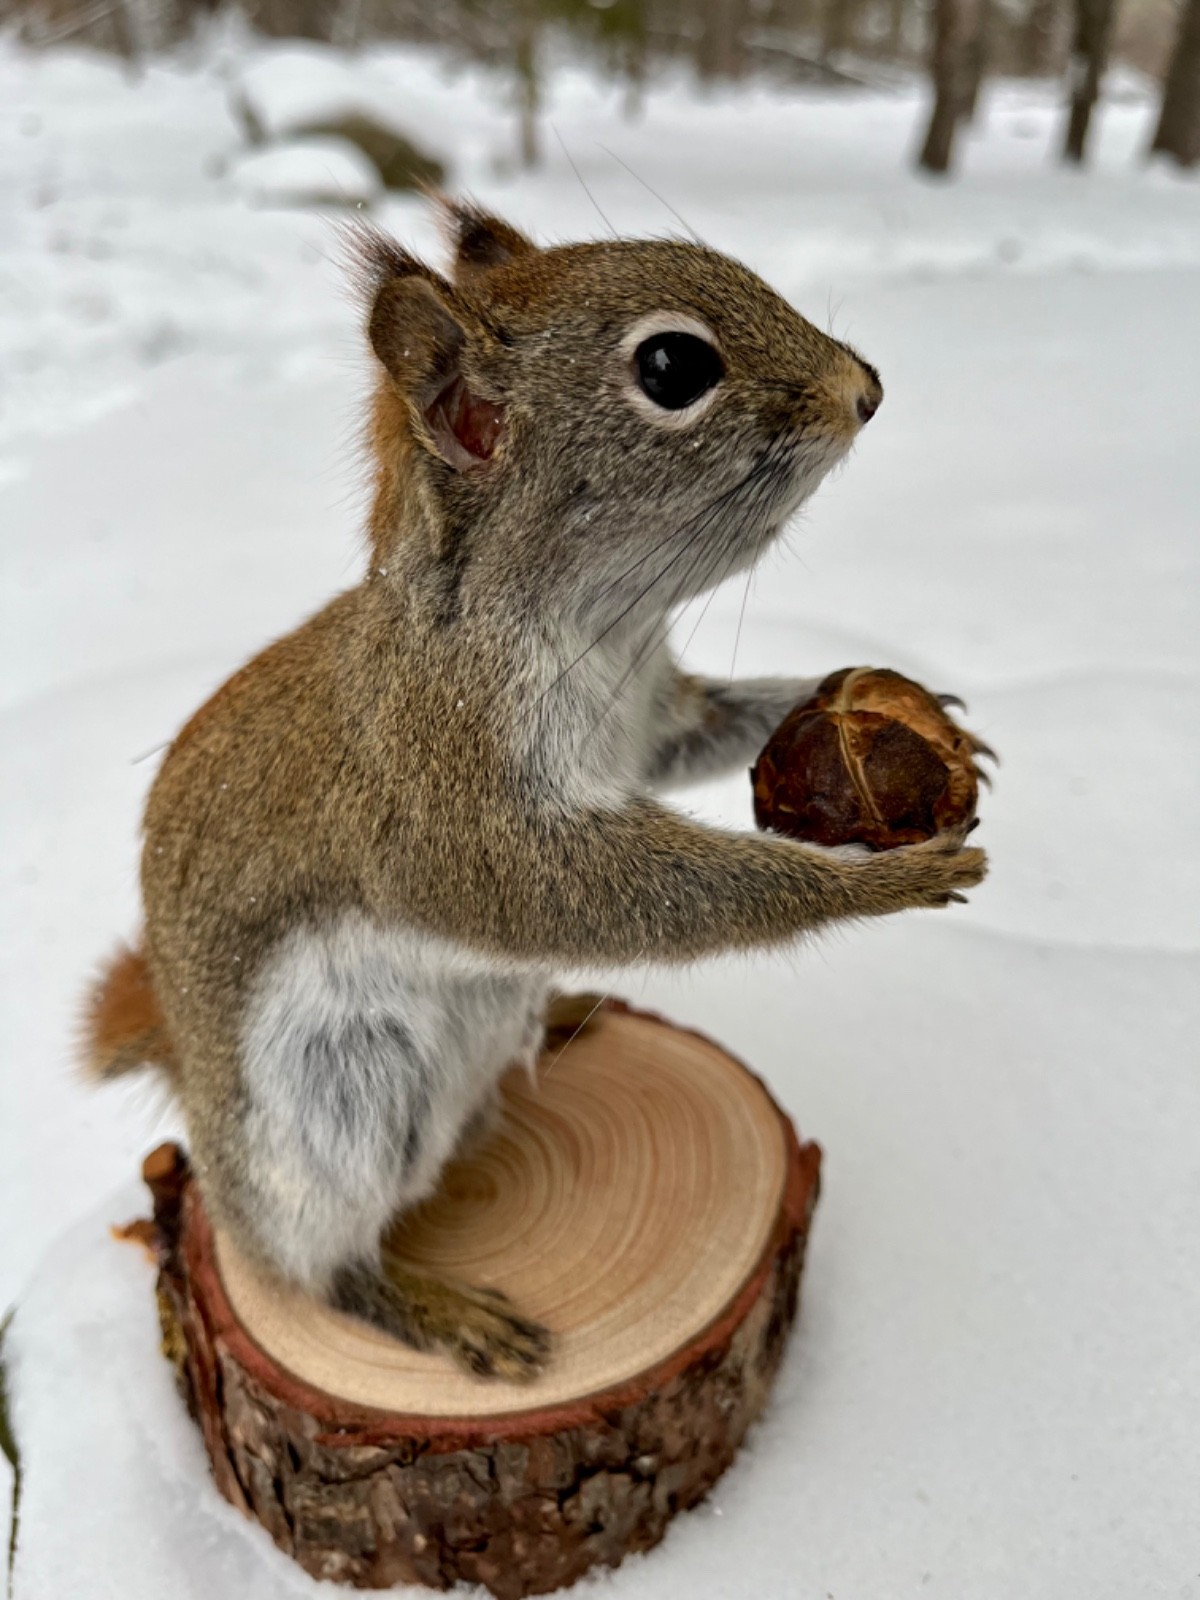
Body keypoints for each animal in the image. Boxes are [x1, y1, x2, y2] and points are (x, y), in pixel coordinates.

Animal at [82, 202, 986, 1381]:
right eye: (673, 367)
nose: (864, 387)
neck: (593, 624)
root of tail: (187, 1071)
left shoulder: (651, 717)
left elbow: (712, 729)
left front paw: (885, 701)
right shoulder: (448, 788)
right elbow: (578, 897)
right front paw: (872, 883)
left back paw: (554, 1019)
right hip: (334, 1113)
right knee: (309, 1265)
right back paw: (432, 1305)